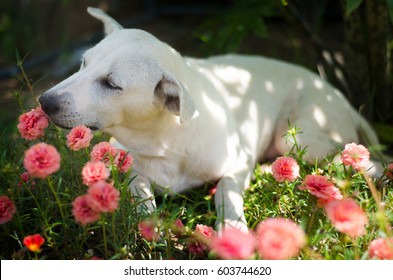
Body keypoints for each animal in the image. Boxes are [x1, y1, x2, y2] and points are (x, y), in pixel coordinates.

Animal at [39, 8, 380, 232]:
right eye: (83, 62)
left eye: (111, 84)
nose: (44, 102)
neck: (166, 140)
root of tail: (339, 96)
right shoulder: (127, 161)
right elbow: (138, 189)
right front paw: (148, 222)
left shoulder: (236, 161)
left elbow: (227, 188)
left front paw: (233, 227)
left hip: (298, 137)